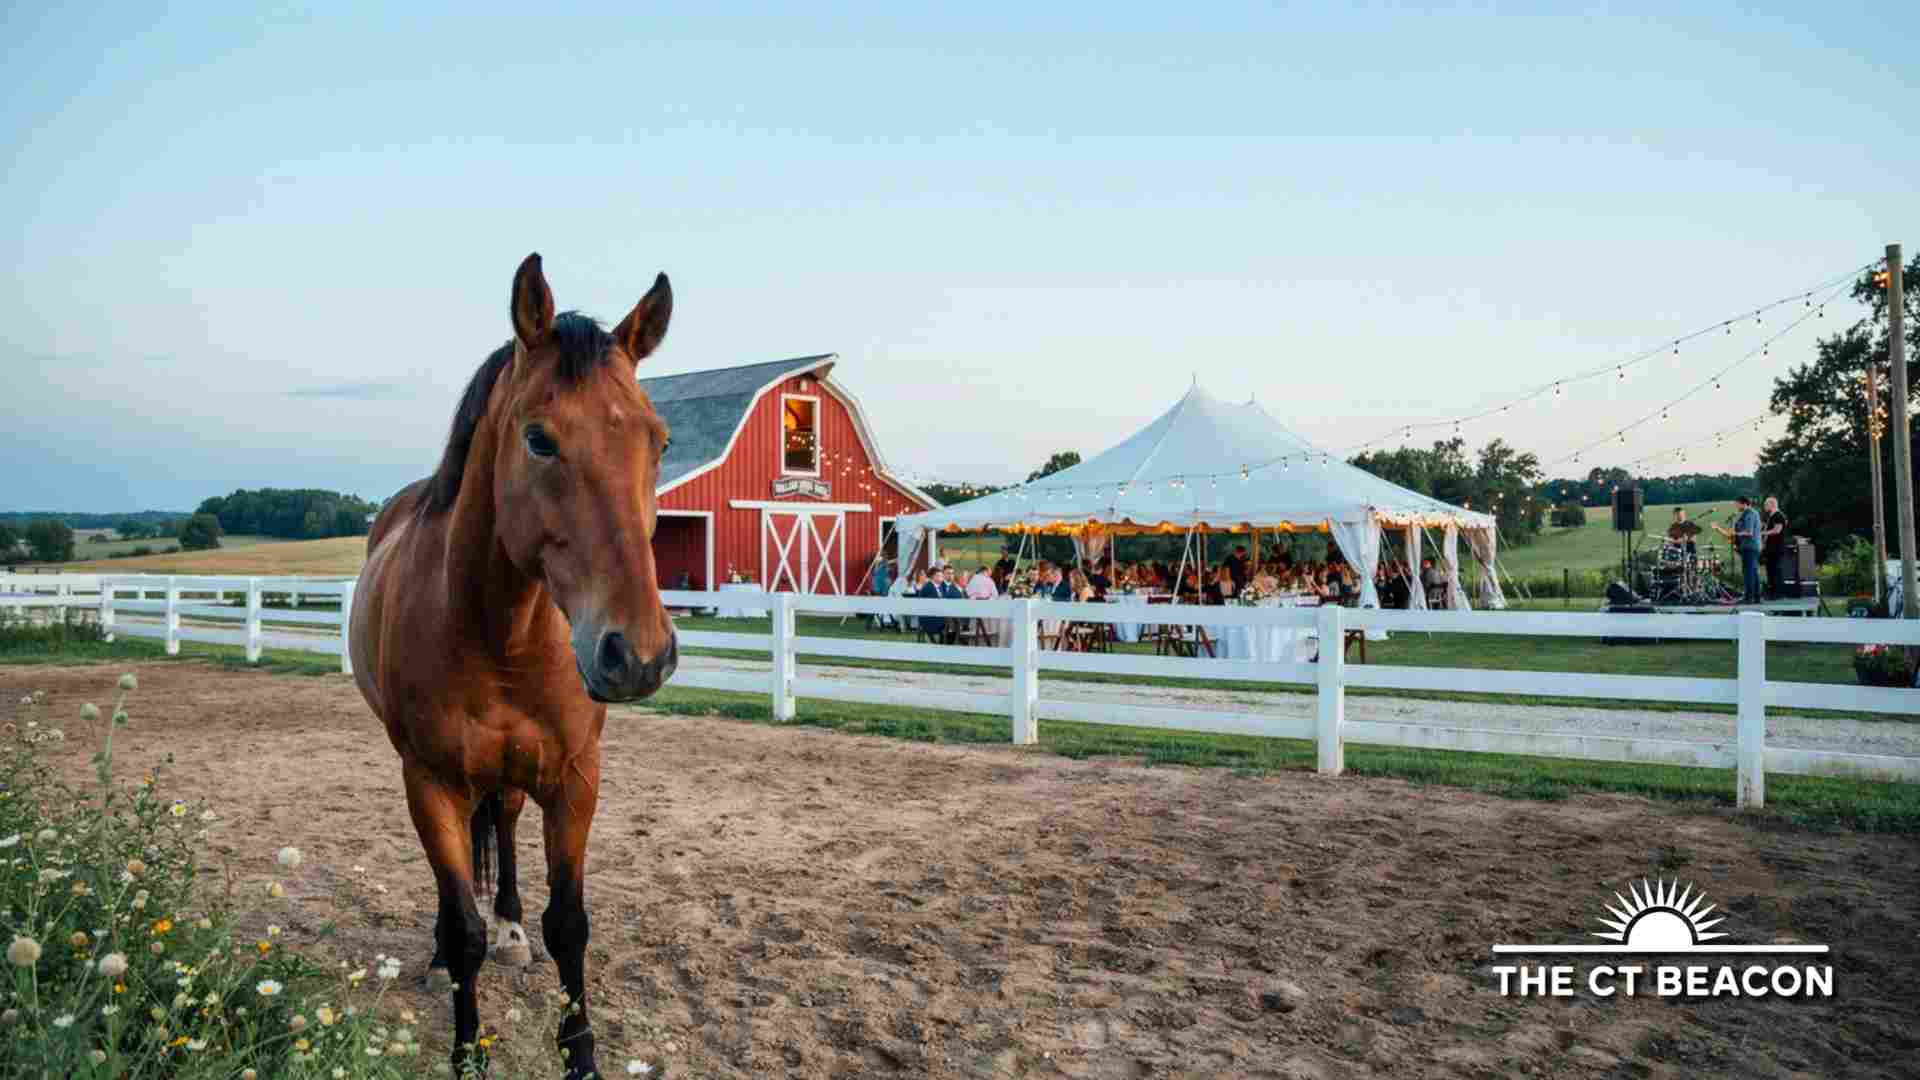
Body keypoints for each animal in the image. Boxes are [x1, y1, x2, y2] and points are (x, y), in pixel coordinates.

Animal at [351, 253, 677, 1078]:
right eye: (539, 439)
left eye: (658, 441)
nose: (638, 654)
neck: (500, 635)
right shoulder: (429, 779)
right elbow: (460, 920)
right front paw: (467, 1051)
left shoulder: (575, 777)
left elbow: (571, 925)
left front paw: (582, 1056)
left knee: (498, 821)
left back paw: (511, 930)